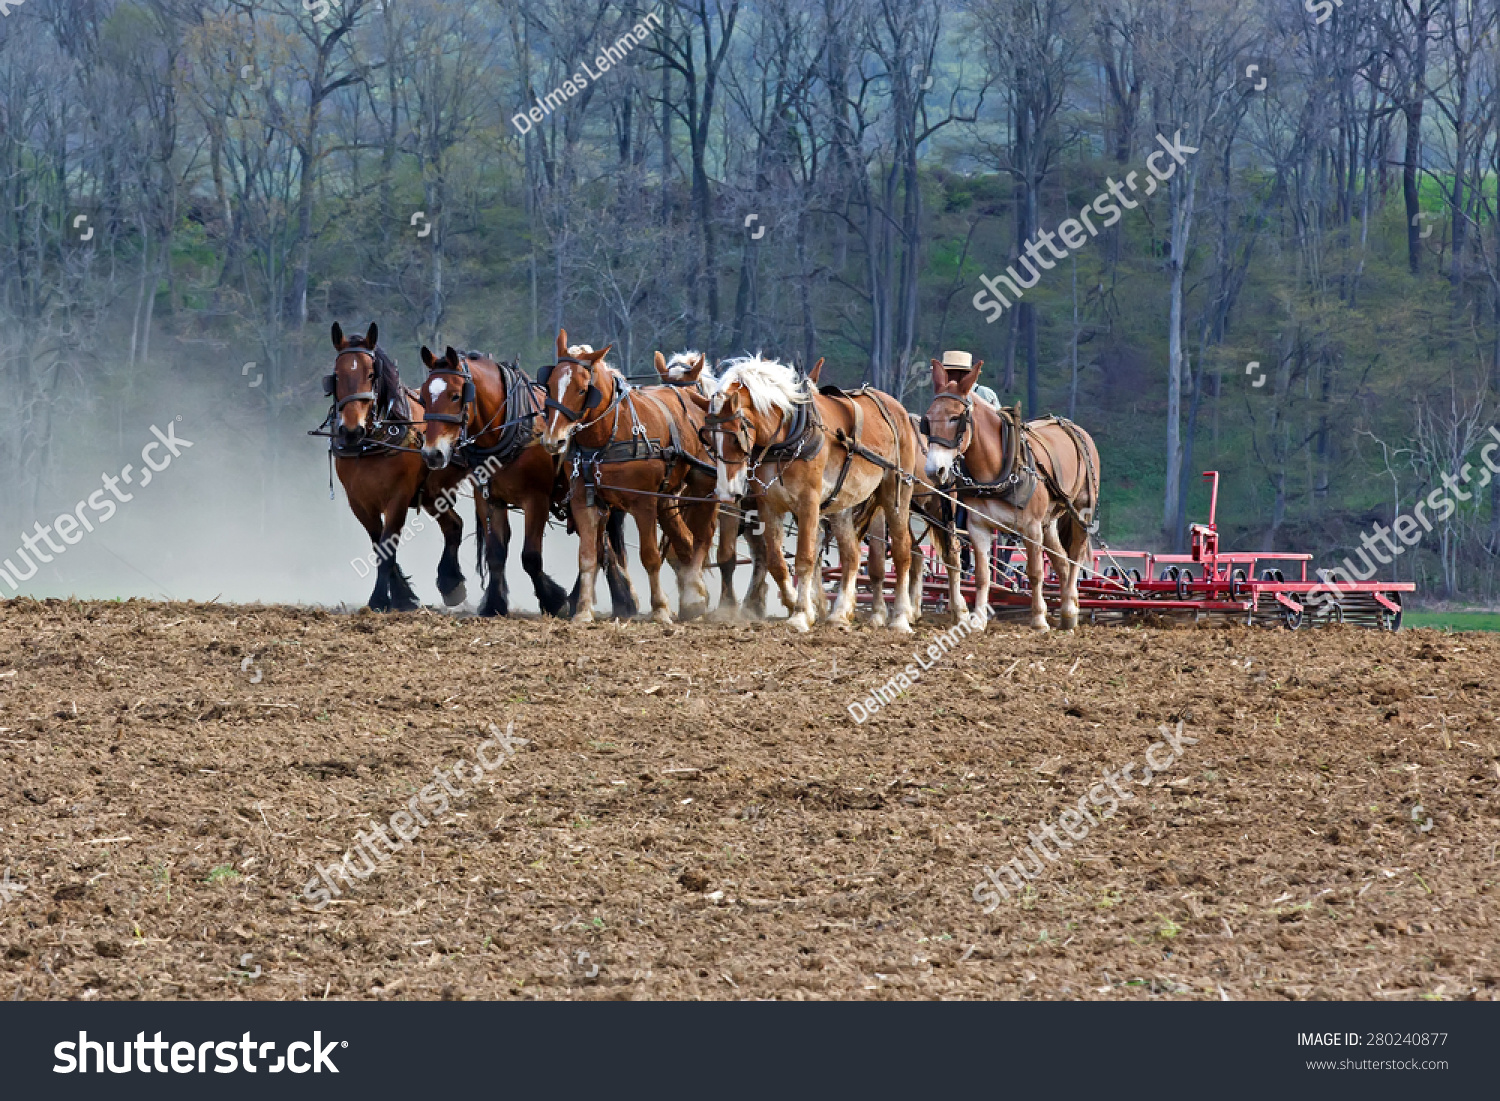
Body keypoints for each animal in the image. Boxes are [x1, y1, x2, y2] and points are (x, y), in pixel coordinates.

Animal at [321, 324, 468, 612]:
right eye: (337, 375)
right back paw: (451, 583)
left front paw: (380, 599)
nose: (351, 431)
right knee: (454, 525)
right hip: (433, 494)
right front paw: (403, 596)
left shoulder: (398, 498)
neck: (372, 443)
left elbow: (388, 544)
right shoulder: (358, 502)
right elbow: (378, 544)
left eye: (371, 374)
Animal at [540, 327, 720, 624]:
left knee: (702, 537)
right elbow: (588, 557)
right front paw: (583, 612)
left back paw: (694, 595)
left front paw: (660, 609)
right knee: (684, 541)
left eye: (582, 389)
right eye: (551, 385)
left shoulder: (643, 503)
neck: (608, 435)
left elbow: (650, 556)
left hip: (704, 486)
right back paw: (693, 598)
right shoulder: (584, 501)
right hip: (667, 497)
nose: (553, 440)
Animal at [696, 358, 918, 633]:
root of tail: (899, 408)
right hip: (841, 505)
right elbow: (776, 561)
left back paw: (900, 618)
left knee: (902, 552)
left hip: (896, 493)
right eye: (708, 439)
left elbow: (805, 558)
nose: (727, 492)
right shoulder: (769, 506)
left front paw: (800, 615)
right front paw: (796, 602)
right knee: (851, 555)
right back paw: (839, 614)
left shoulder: (808, 504)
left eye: (737, 439)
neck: (787, 437)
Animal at [912, 358, 1104, 633]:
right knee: (1061, 561)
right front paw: (978, 620)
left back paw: (1068, 610)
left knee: (1075, 556)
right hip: (1049, 522)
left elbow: (1035, 572)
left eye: (955, 418)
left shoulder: (1031, 527)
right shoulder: (978, 526)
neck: (996, 470)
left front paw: (1039, 619)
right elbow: (982, 575)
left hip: (1080, 511)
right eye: (927, 420)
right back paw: (1070, 610)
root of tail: (1074, 428)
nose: (933, 470)